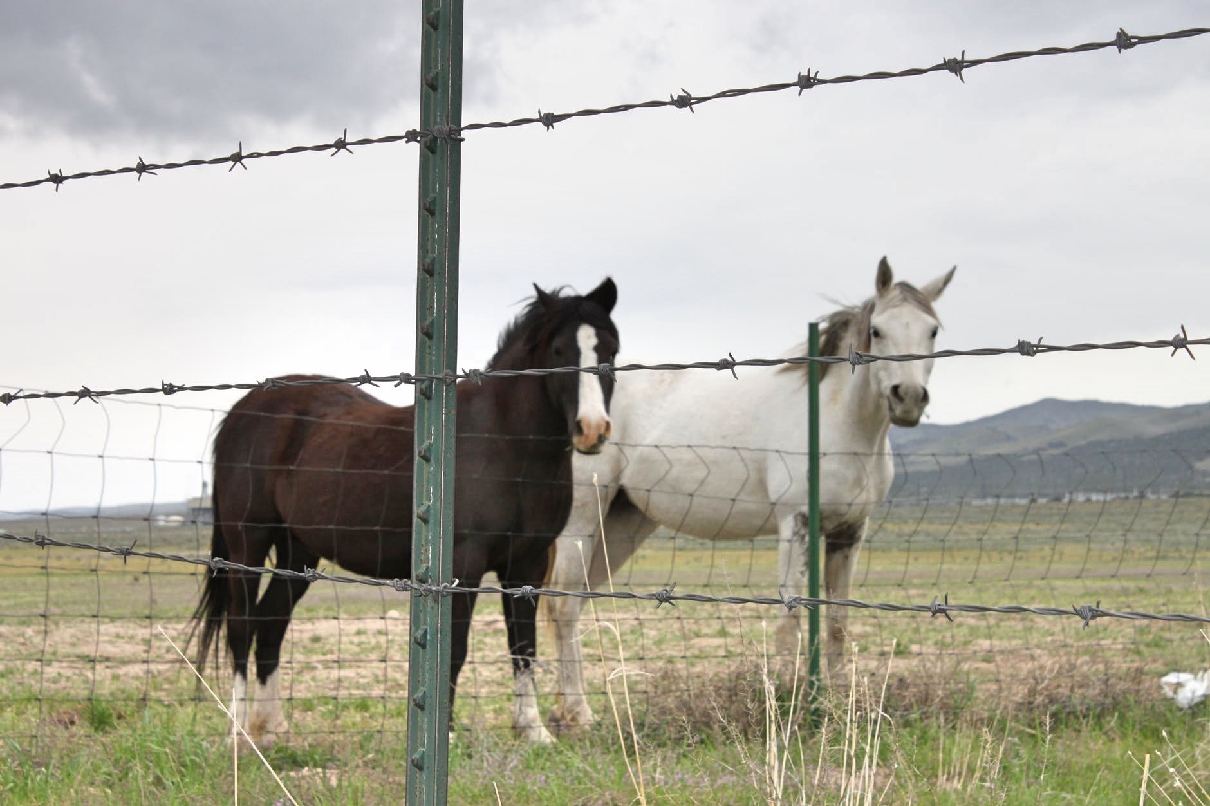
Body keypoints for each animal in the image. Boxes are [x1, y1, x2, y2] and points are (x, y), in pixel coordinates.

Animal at [196, 275, 624, 740]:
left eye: (610, 349)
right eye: (559, 351)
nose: (592, 430)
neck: (506, 445)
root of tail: (243, 411)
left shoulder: (526, 564)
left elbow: (523, 645)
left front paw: (532, 729)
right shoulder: (463, 564)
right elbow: (455, 647)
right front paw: (447, 734)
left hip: (299, 550)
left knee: (270, 623)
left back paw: (271, 728)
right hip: (248, 543)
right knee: (241, 627)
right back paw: (238, 733)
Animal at [546, 257, 953, 726]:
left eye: (932, 330)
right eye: (878, 330)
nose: (908, 398)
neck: (839, 422)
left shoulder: (849, 531)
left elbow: (837, 620)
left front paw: (836, 704)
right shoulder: (796, 522)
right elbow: (791, 618)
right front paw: (787, 704)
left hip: (621, 523)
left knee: (575, 601)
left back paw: (564, 710)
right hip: (582, 517)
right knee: (564, 606)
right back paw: (579, 714)